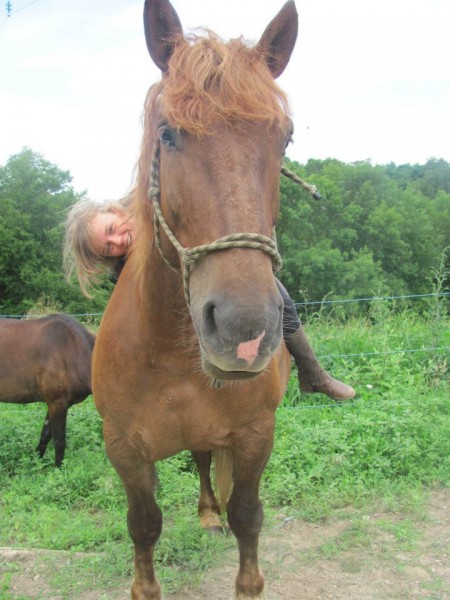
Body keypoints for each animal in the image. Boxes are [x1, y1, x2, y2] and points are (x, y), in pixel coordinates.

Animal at [0, 316, 95, 466]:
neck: (73, 350)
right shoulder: (57, 403)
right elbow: (59, 441)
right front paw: (58, 469)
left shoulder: (58, 404)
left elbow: (45, 435)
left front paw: (36, 463)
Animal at [92, 2, 298, 596]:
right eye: (167, 134)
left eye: (284, 140)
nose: (244, 329)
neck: (170, 355)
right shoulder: (124, 449)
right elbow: (143, 525)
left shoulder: (255, 435)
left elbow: (248, 516)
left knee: (206, 459)